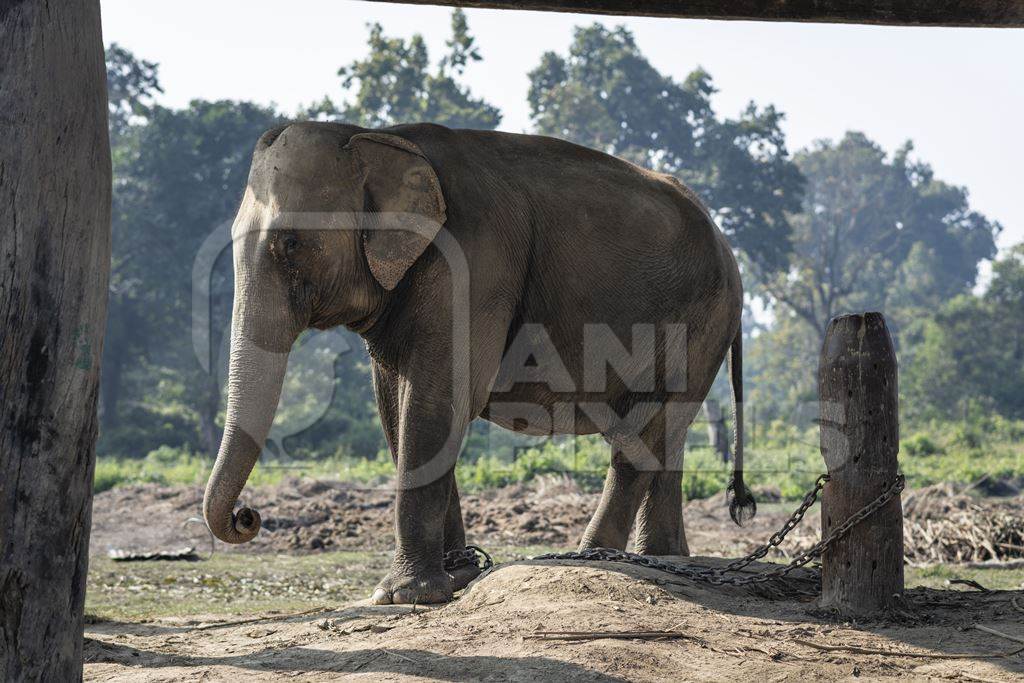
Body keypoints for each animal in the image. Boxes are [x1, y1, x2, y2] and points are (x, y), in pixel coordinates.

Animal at [202, 121, 755, 605]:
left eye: (291, 243)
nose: (248, 516)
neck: (374, 136)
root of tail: (728, 247)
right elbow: (396, 407)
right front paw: (460, 573)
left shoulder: (475, 263)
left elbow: (438, 399)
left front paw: (403, 595)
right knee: (669, 431)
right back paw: (663, 559)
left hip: (702, 317)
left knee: (646, 432)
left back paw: (593, 555)